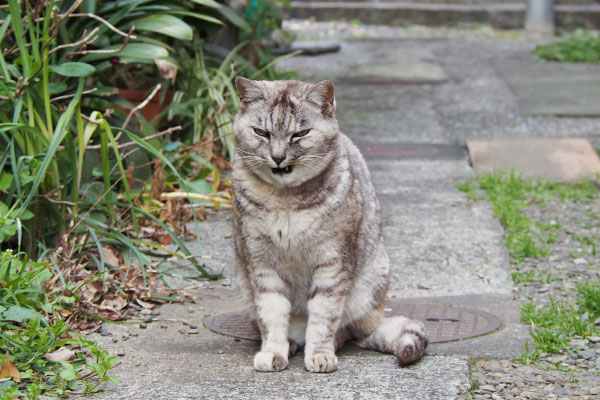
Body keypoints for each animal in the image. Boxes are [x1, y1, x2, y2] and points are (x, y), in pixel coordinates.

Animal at [230, 77, 426, 372]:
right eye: (261, 132)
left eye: (300, 133)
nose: (278, 156)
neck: (284, 200)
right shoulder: (261, 262)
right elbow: (272, 313)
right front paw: (273, 351)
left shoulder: (332, 260)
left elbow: (324, 314)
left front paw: (320, 354)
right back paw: (290, 344)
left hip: (370, 285)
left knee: (346, 331)